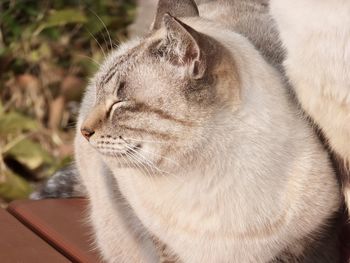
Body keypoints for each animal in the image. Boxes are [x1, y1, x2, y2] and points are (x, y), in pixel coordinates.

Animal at [31, 1, 340, 262]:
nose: (84, 130)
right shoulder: (163, 244)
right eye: (99, 93)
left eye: (119, 103)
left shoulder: (305, 244)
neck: (205, 178)